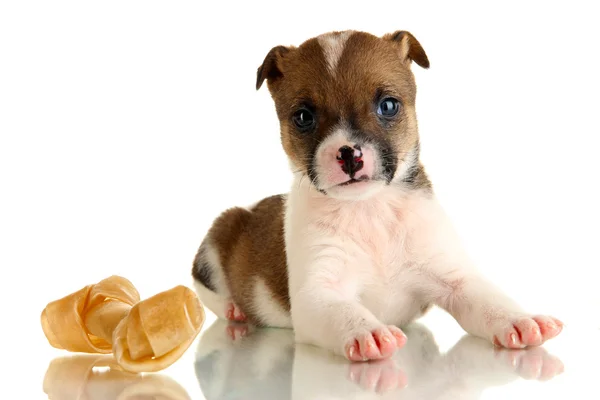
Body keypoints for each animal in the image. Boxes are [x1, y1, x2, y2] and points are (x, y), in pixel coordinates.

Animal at [192, 30, 564, 362]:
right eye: (303, 117)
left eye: (388, 105)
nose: (349, 154)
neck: (369, 208)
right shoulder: (318, 297)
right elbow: (344, 312)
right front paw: (365, 331)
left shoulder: (454, 281)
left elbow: (488, 301)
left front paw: (516, 319)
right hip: (213, 246)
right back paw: (234, 310)